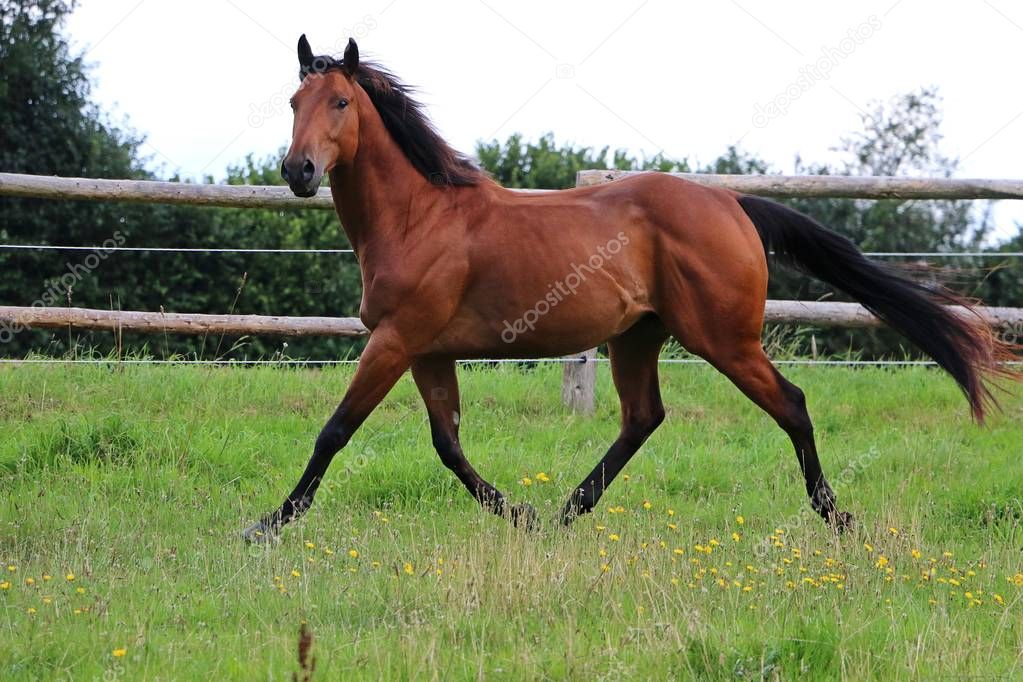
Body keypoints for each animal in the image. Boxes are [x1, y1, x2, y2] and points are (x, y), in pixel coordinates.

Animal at [239, 36, 1014, 543]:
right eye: (294, 99)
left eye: (342, 101)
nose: (298, 171)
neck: (418, 216)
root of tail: (732, 203)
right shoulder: (427, 350)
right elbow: (447, 444)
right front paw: (518, 514)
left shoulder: (396, 341)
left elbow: (335, 431)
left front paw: (266, 525)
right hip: (637, 335)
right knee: (643, 417)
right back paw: (562, 515)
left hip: (722, 338)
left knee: (790, 405)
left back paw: (836, 517)